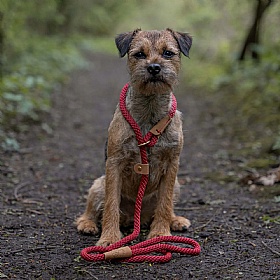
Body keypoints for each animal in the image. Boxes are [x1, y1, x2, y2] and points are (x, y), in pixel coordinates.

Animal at [76, 28, 192, 246]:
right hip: (98, 184)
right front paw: (110, 238)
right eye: (139, 54)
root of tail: (135, 219)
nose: (154, 67)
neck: (150, 110)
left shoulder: (172, 165)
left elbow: (165, 203)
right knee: (92, 210)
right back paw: (87, 224)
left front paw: (160, 234)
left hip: (177, 185)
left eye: (168, 53)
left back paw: (175, 220)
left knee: (166, 206)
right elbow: (111, 204)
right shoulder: (114, 164)